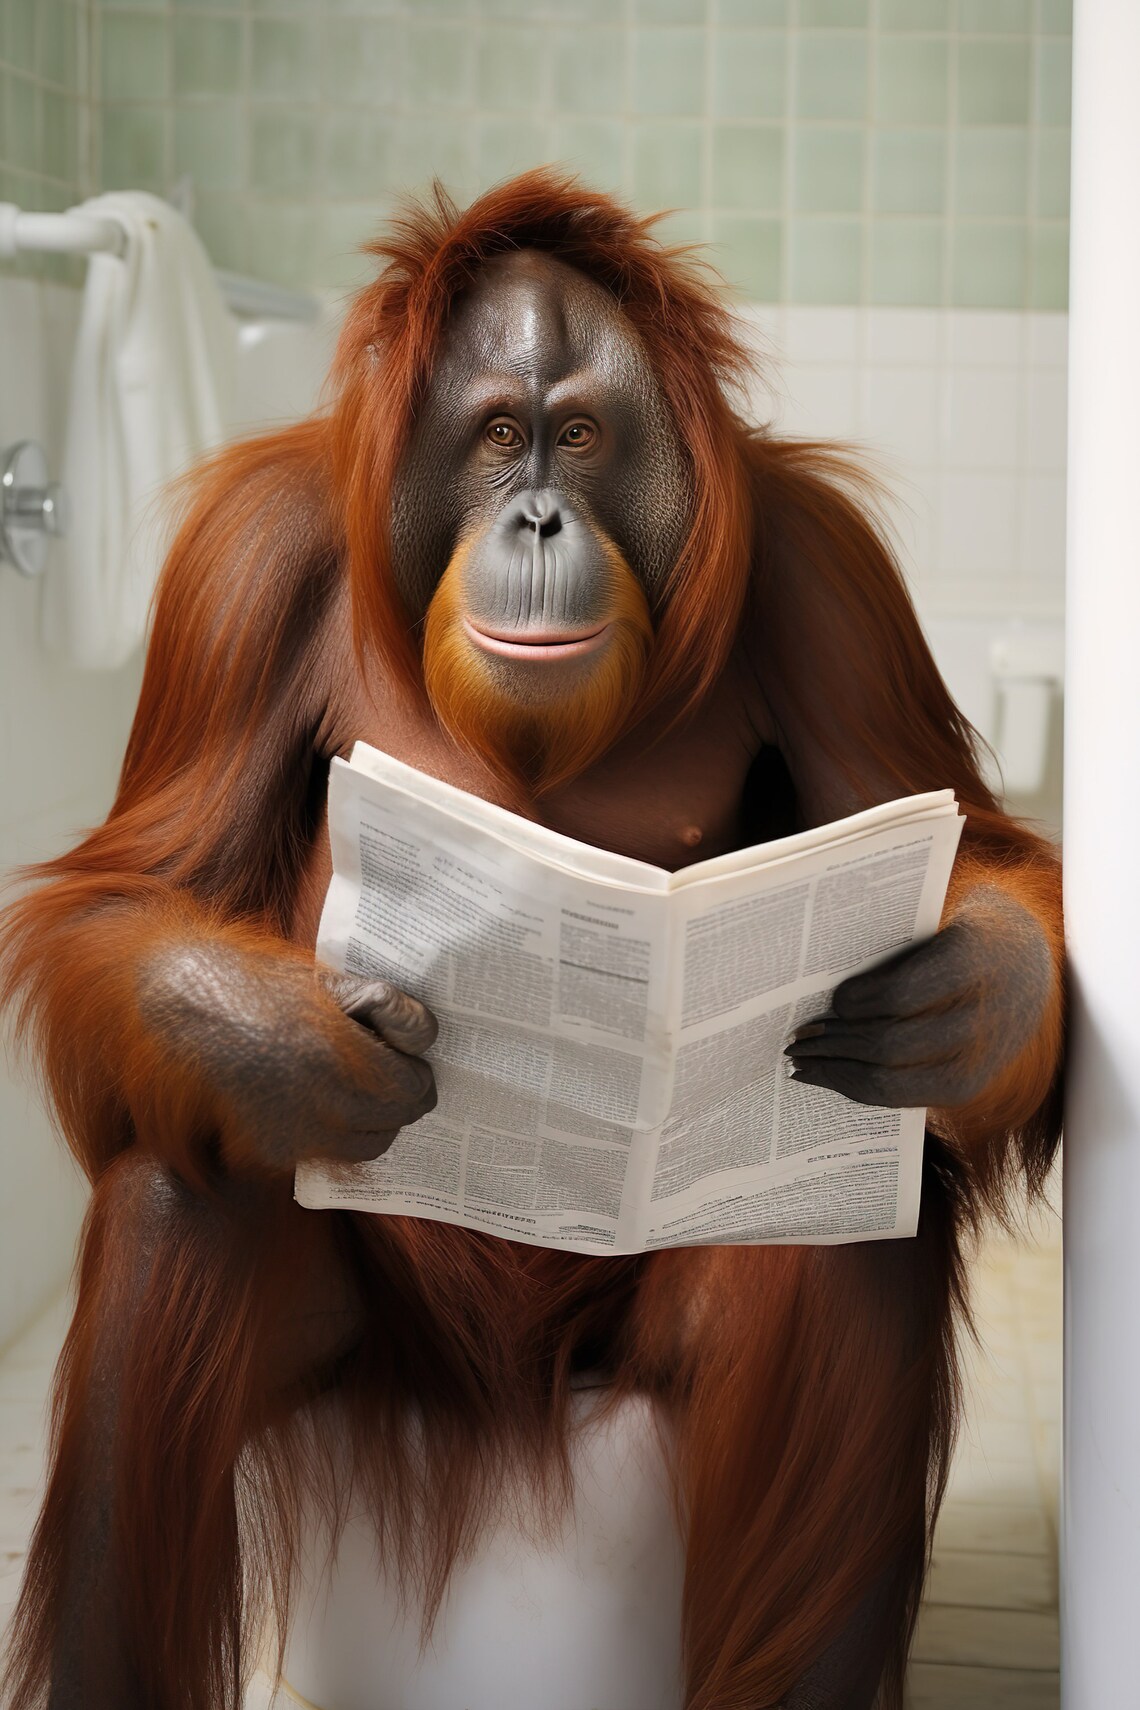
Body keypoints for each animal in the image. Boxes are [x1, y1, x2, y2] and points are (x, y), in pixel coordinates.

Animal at [1, 171, 1063, 1710]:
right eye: (499, 434)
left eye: (581, 436)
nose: (545, 519)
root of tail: (505, 1420)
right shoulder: (245, 560)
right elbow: (138, 884)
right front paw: (292, 1046)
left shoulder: (831, 575)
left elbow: (976, 840)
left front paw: (967, 1002)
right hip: (378, 1366)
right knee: (172, 1201)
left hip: (628, 1346)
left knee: (848, 1235)